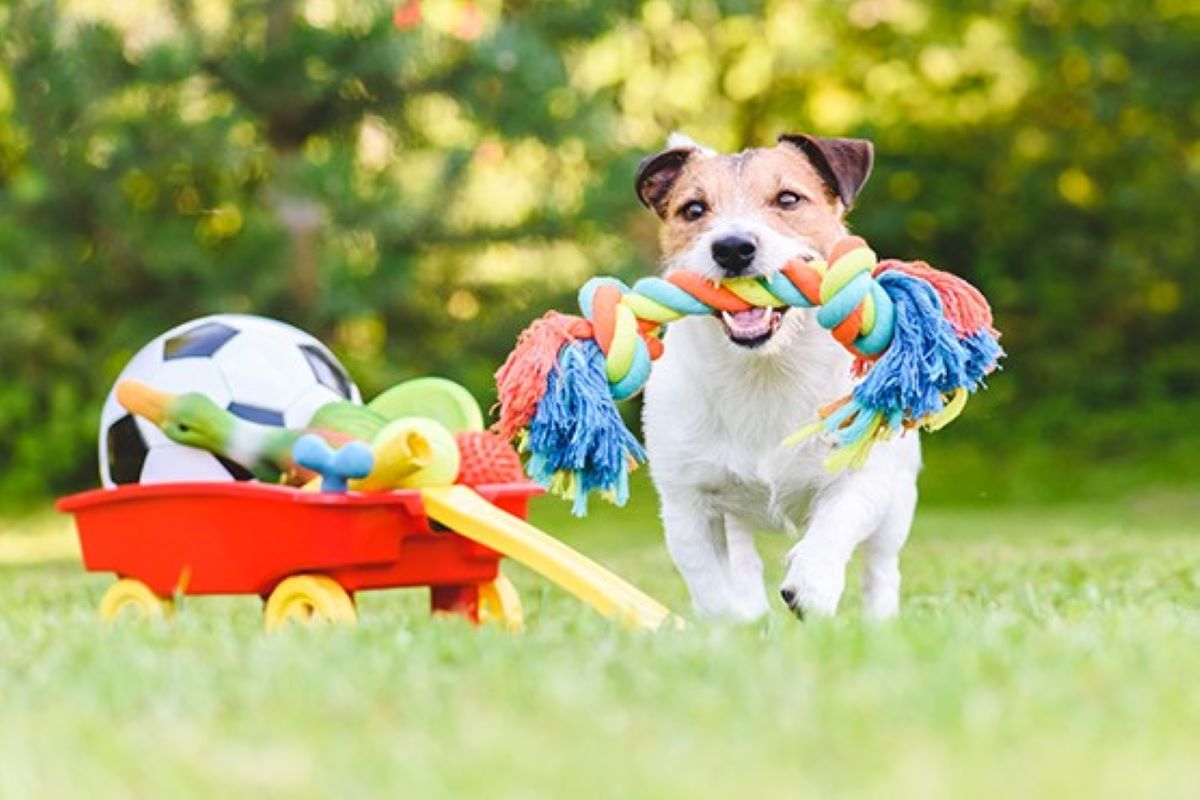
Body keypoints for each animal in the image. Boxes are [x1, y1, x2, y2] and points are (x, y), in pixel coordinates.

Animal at [638, 131, 916, 623]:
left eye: (788, 198)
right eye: (694, 209)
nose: (732, 247)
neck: (765, 370)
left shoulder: (863, 476)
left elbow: (835, 523)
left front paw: (811, 584)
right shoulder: (687, 503)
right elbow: (711, 584)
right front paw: (732, 627)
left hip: (898, 502)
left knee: (881, 568)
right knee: (743, 561)